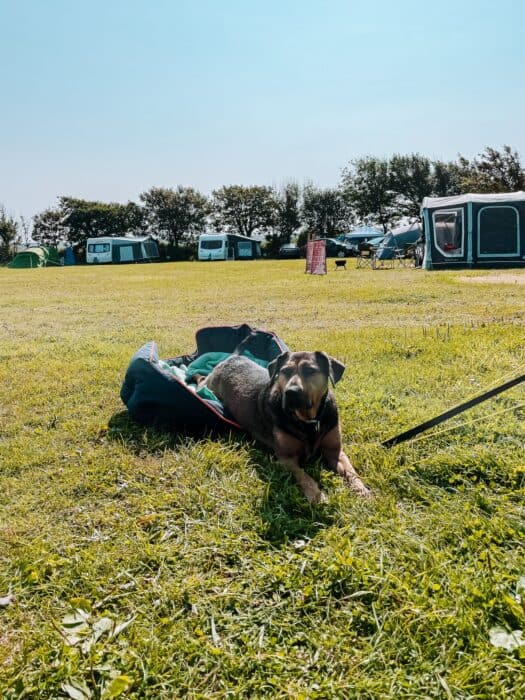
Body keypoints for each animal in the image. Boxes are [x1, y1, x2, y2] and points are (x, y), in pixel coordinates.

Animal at [205, 350, 368, 504]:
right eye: (285, 371)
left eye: (310, 370)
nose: (291, 392)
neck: (308, 420)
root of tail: (229, 359)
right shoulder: (286, 458)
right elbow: (304, 475)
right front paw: (316, 495)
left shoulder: (335, 451)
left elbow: (351, 472)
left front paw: (362, 489)